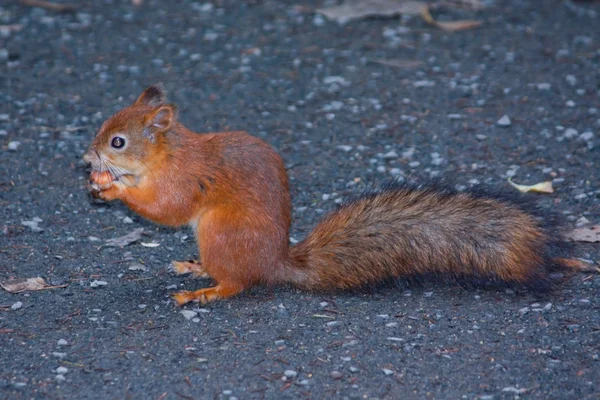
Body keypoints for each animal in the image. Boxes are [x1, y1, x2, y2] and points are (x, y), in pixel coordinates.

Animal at [83, 83, 592, 304]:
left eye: (118, 142)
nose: (86, 159)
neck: (168, 154)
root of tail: (276, 264)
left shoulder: (187, 180)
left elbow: (167, 209)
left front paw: (114, 192)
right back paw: (193, 269)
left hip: (221, 235)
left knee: (238, 283)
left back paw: (203, 292)